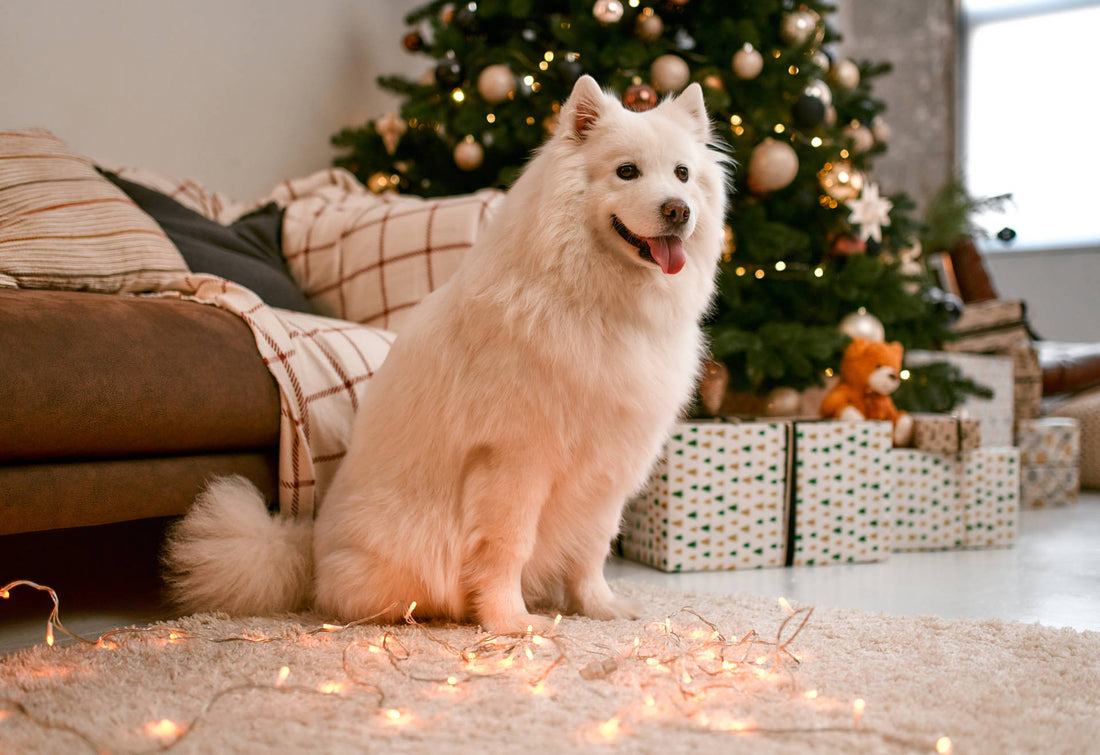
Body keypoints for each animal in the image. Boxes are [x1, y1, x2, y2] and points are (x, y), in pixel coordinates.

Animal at [165, 77, 730, 633]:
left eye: (682, 173)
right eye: (627, 171)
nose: (678, 210)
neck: (599, 303)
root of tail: (309, 553)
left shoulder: (609, 467)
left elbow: (592, 548)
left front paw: (599, 608)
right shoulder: (514, 462)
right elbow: (507, 548)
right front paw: (510, 622)